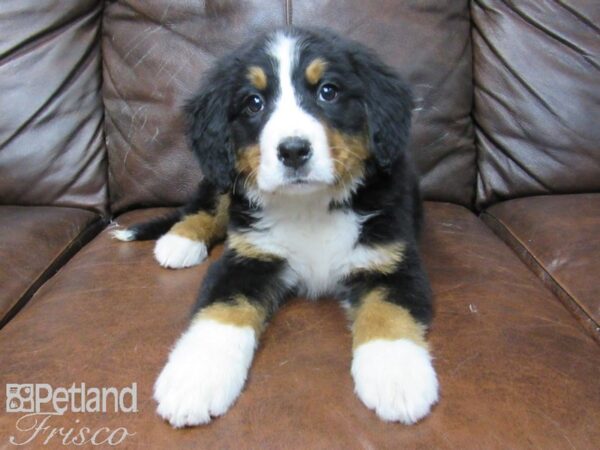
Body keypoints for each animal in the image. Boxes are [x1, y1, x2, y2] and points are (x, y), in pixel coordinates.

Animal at [113, 27, 440, 428]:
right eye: (253, 103)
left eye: (328, 91)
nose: (294, 151)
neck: (310, 207)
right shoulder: (248, 258)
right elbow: (220, 313)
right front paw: (195, 379)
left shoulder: (391, 259)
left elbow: (388, 314)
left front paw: (397, 376)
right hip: (225, 179)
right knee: (207, 206)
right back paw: (179, 240)